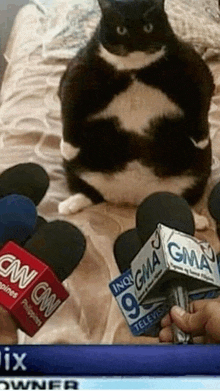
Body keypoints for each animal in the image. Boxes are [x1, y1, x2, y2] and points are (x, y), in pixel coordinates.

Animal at [57, 0, 214, 227]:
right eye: (121, 29)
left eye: (148, 27)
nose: (137, 42)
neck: (134, 71)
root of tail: (133, 196)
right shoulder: (79, 71)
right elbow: (69, 106)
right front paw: (67, 147)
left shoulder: (193, 67)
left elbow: (202, 100)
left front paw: (201, 139)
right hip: (76, 169)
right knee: (88, 191)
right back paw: (69, 205)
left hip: (199, 170)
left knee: (181, 201)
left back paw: (199, 220)